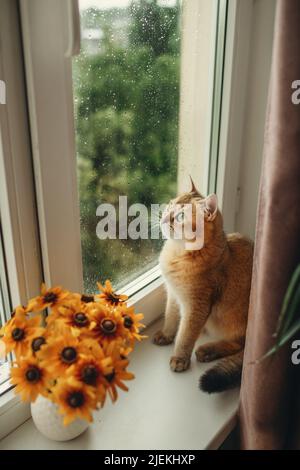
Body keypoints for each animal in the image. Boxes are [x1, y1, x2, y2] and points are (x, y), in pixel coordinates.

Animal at [154, 180, 254, 392]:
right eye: (170, 204)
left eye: (181, 216)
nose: (165, 218)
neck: (178, 254)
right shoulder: (174, 295)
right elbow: (170, 317)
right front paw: (166, 335)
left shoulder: (196, 306)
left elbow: (185, 335)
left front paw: (179, 358)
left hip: (236, 322)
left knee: (238, 345)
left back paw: (207, 351)